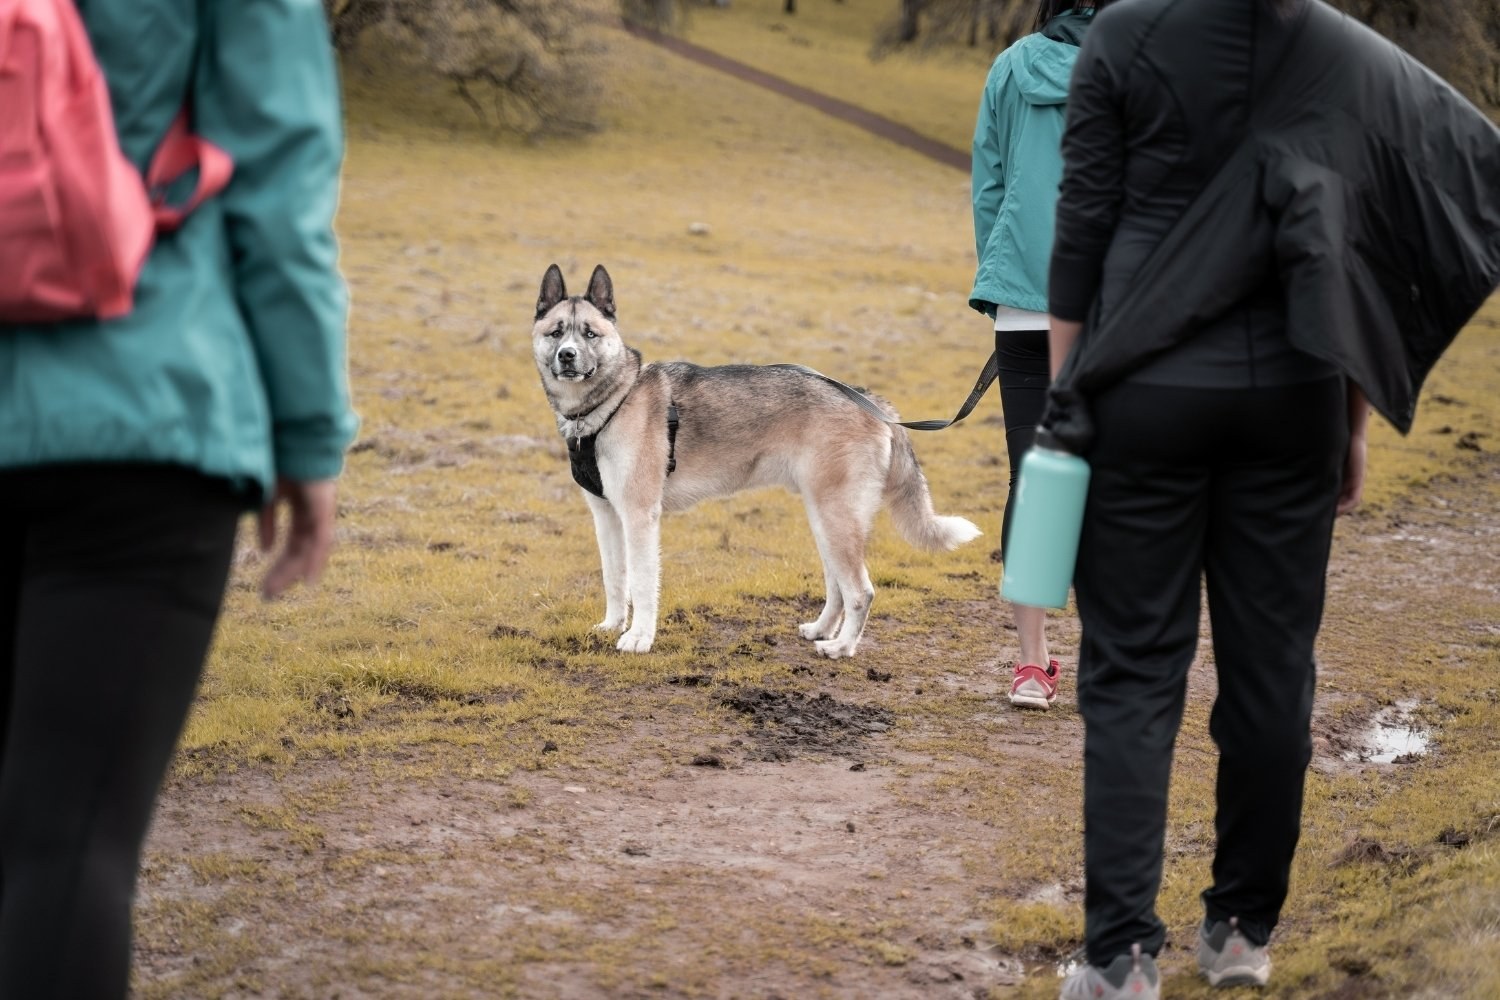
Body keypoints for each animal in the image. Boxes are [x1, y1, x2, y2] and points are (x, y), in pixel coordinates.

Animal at [531, 262, 984, 659]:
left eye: (590, 334)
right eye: (557, 332)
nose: (567, 356)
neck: (612, 400)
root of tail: (872, 402)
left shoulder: (640, 516)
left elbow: (641, 584)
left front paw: (639, 638)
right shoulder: (607, 516)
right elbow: (615, 578)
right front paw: (611, 626)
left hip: (837, 517)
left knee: (861, 591)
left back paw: (841, 648)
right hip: (824, 518)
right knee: (838, 586)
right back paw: (822, 630)